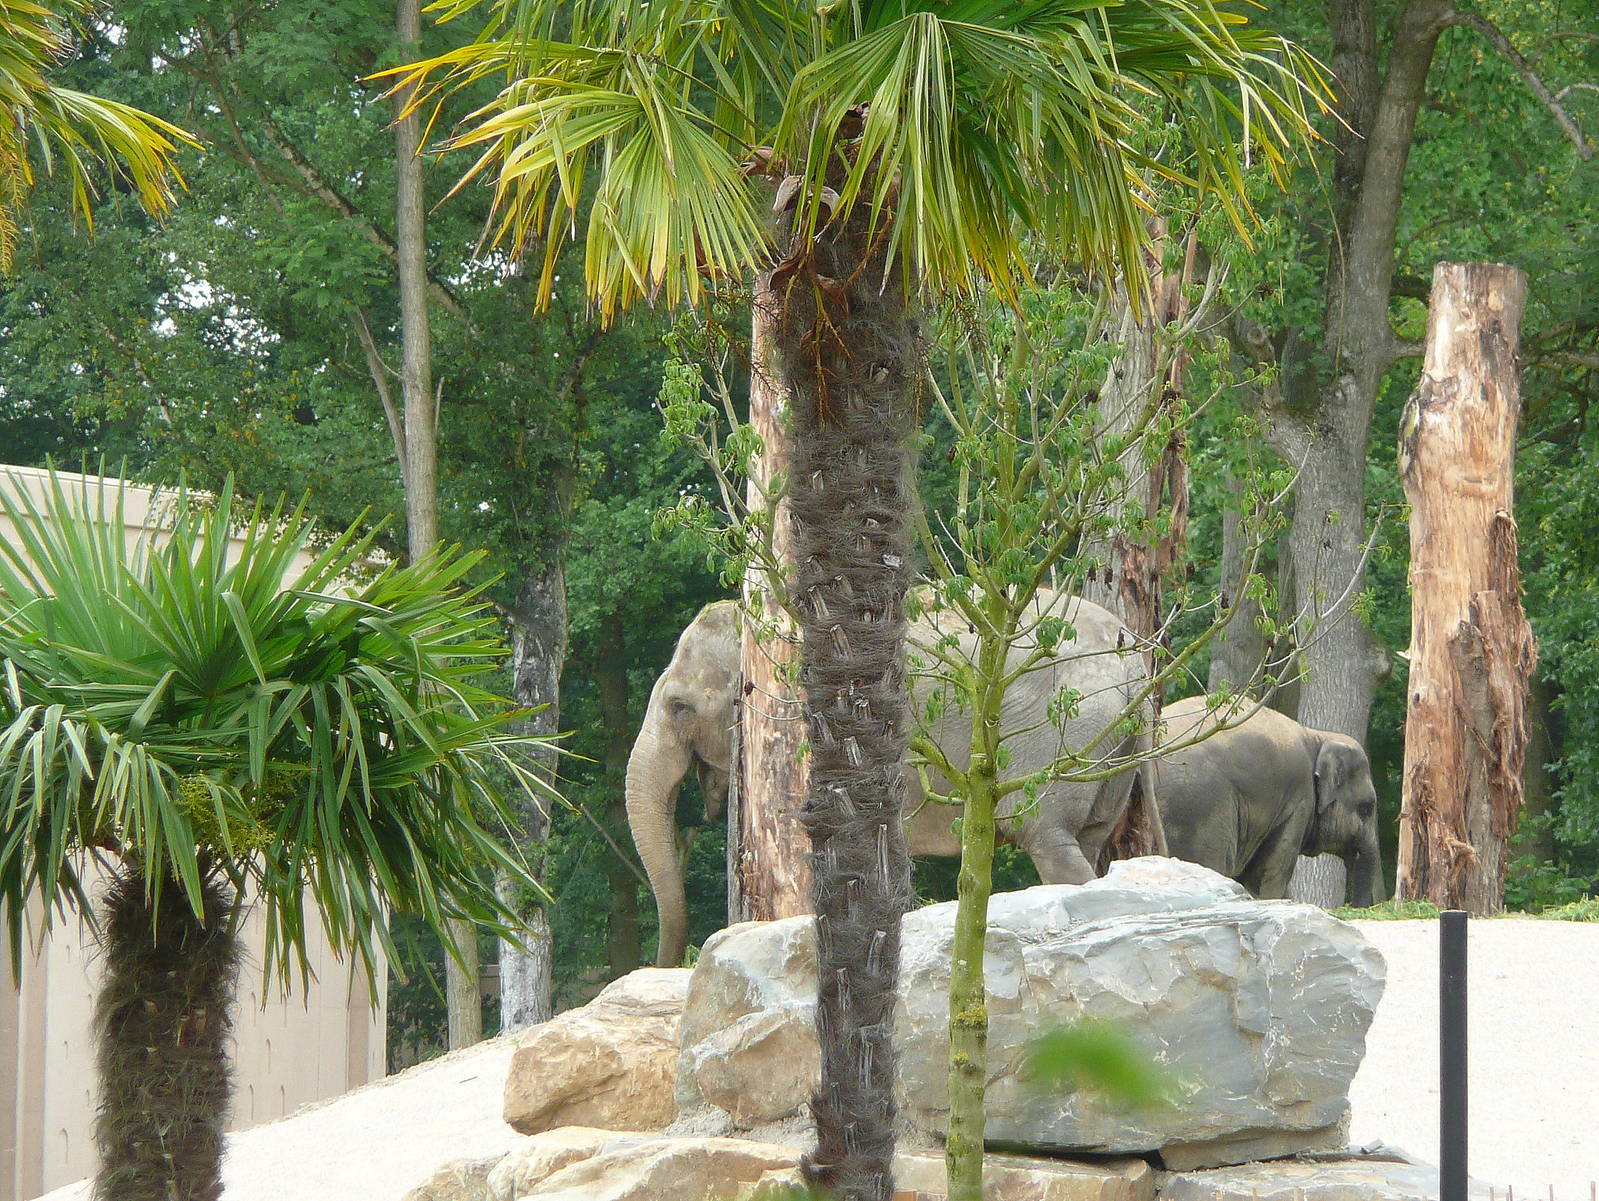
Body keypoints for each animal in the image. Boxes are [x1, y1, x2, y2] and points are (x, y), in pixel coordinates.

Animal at [626, 593, 1157, 966]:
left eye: (680, 707)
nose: (667, 964)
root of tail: (1136, 662)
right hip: (1108, 749)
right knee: (1085, 840)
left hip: (1065, 733)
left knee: (1046, 837)